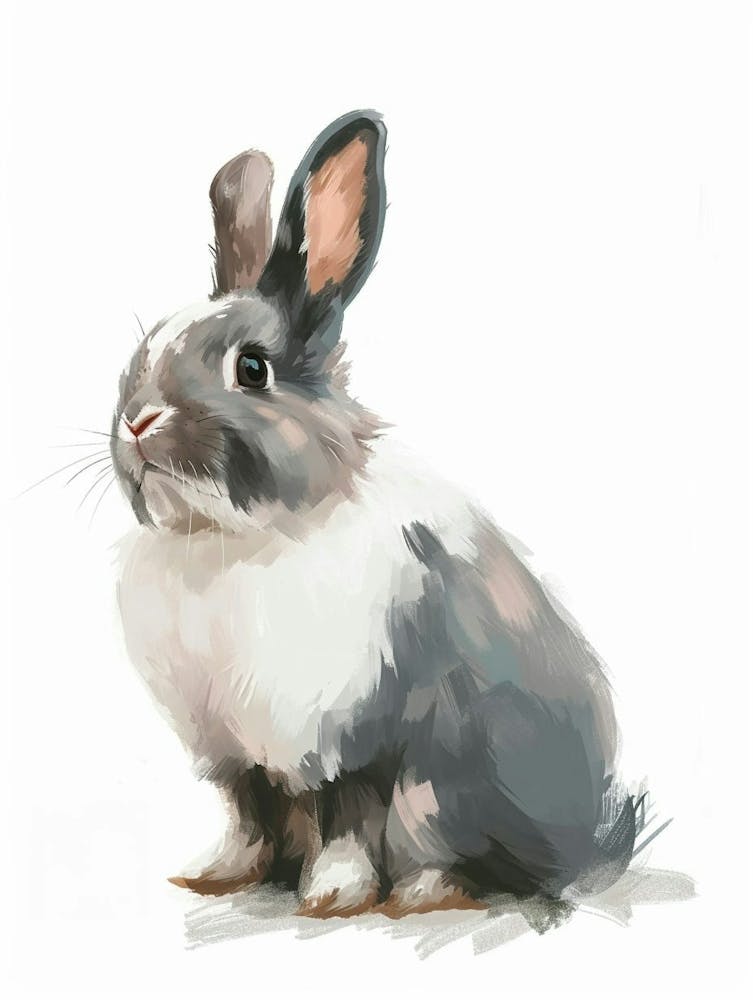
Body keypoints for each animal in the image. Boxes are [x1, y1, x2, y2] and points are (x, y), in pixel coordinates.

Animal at [113, 110, 639, 919]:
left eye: (252, 368)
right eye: (145, 348)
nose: (139, 422)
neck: (234, 538)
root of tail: (593, 845)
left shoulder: (351, 735)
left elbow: (343, 814)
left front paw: (332, 895)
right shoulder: (233, 753)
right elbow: (246, 813)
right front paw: (213, 876)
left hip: (445, 786)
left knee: (455, 853)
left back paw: (419, 894)